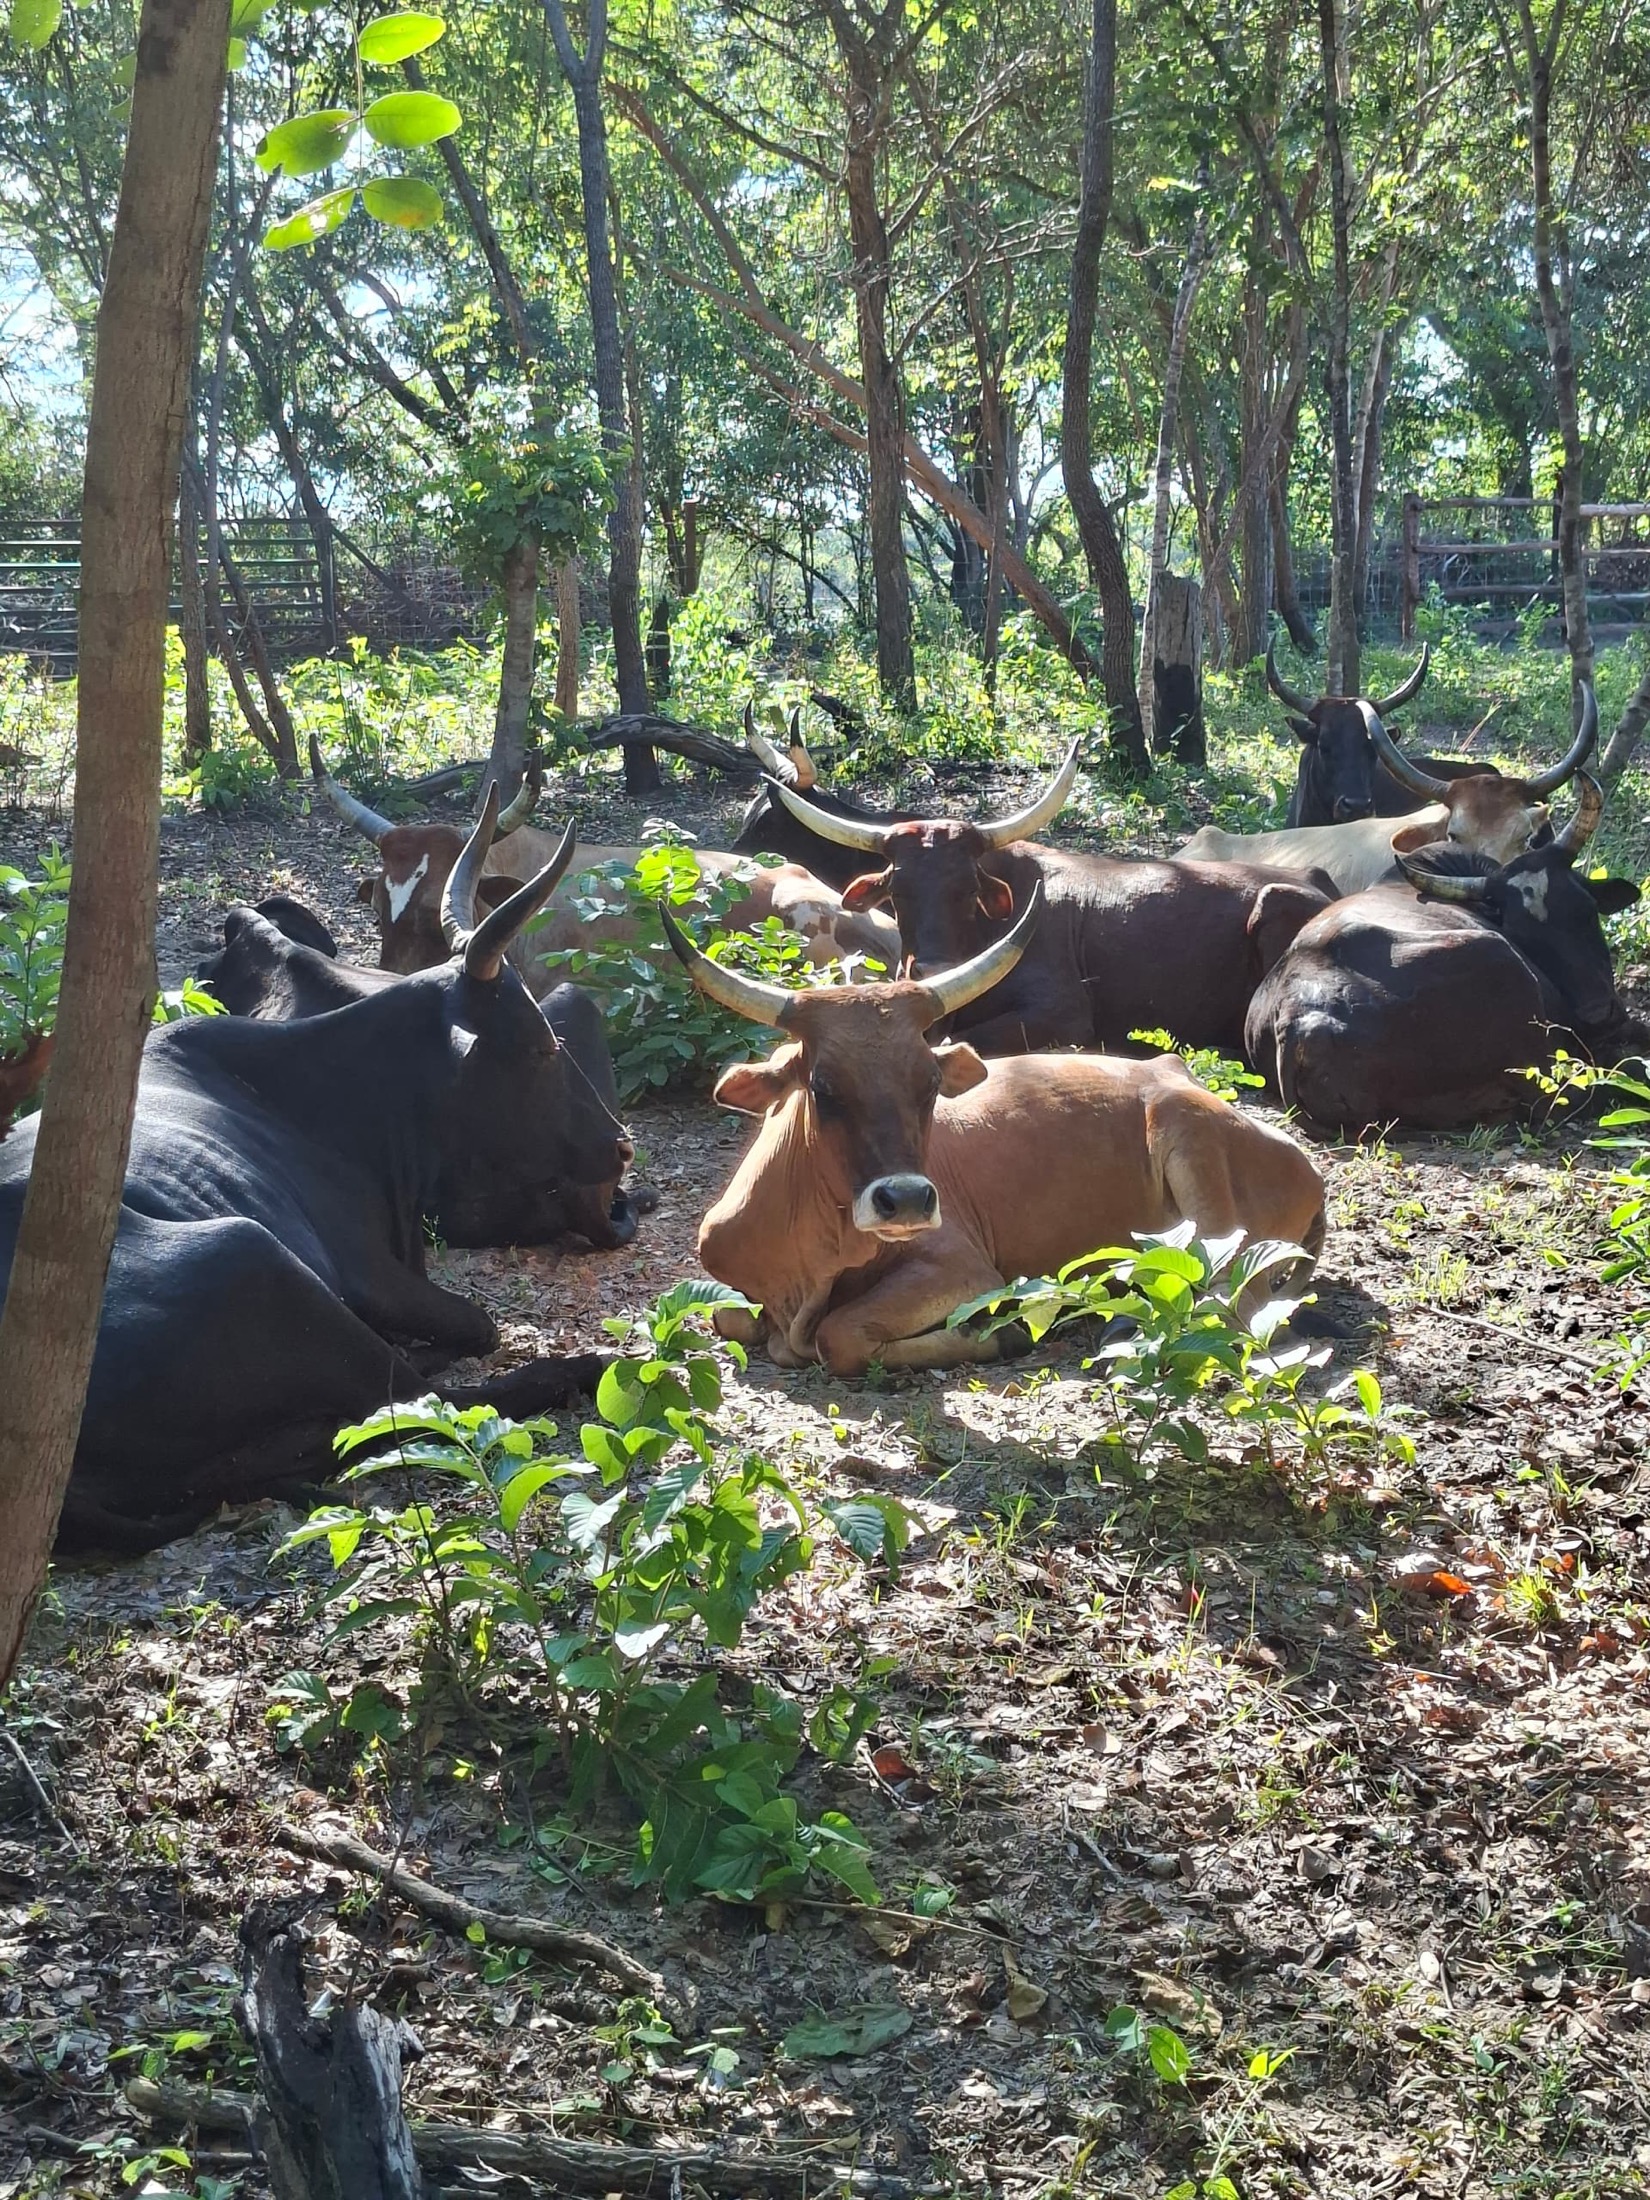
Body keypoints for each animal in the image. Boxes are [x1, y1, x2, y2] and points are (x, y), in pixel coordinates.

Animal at [664, 896, 1325, 1377]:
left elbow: (840, 1336)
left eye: (930, 1082)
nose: (907, 1200)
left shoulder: (964, 1270)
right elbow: (731, 1320)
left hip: (1191, 1146)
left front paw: (995, 1335)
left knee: (1230, 1302)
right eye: (822, 1086)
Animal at [767, 745, 1333, 1056]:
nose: (933, 970)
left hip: (1274, 901)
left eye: (968, 891)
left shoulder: (1063, 1014)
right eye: (899, 892)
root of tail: (1315, 878)